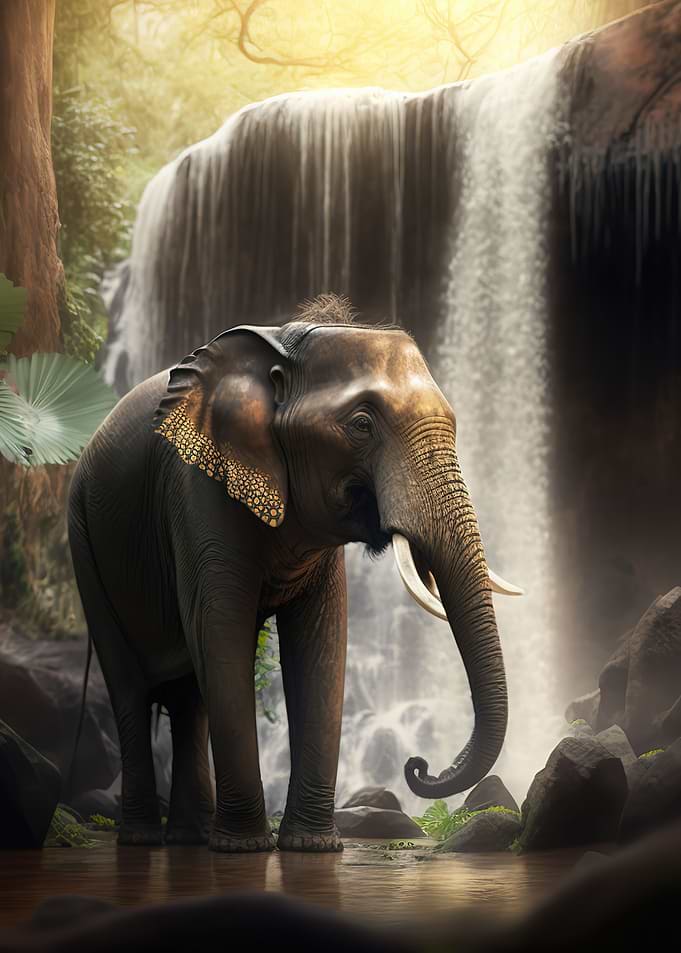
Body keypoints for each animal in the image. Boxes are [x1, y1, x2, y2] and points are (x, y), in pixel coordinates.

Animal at [68, 293, 520, 853]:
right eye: (362, 425)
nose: (418, 766)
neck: (282, 340)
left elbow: (320, 643)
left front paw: (312, 848)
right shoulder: (196, 487)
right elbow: (221, 630)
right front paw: (246, 849)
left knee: (189, 696)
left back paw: (190, 839)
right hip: (85, 543)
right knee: (131, 685)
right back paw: (146, 840)